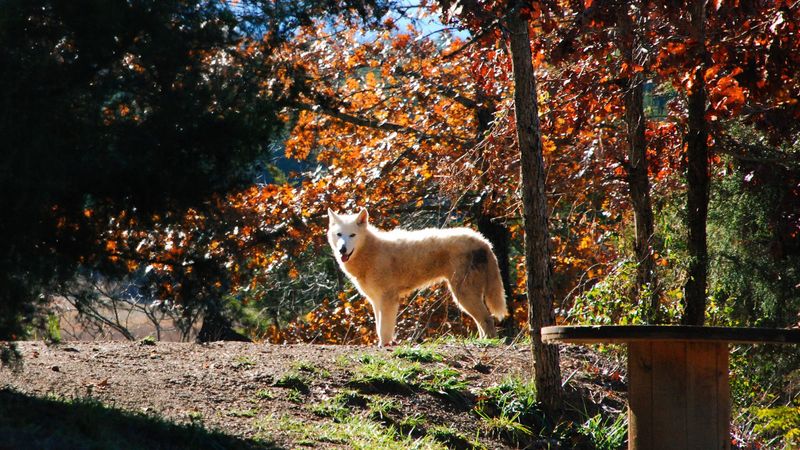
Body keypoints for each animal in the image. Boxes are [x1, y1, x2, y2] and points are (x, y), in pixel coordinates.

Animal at [327, 208, 507, 346]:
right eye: (339, 234)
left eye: (352, 235)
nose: (342, 250)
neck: (370, 251)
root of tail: (484, 241)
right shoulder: (376, 301)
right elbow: (379, 328)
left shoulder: (388, 299)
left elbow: (384, 329)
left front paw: (384, 346)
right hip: (467, 296)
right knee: (482, 321)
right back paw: (481, 342)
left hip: (463, 295)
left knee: (487, 319)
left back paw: (488, 343)